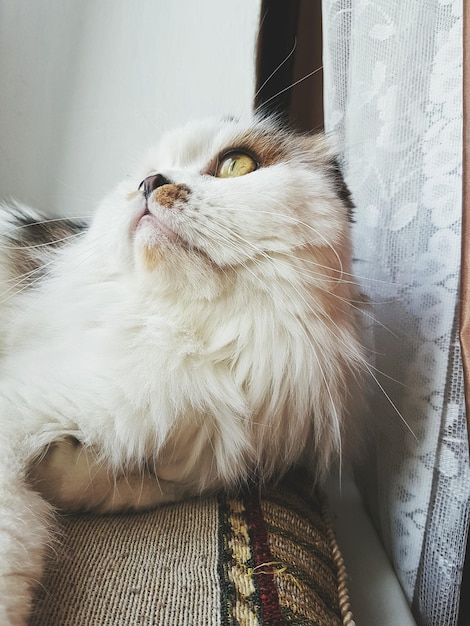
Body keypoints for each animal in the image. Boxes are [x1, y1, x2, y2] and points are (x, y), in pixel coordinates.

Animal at [0, 114, 364, 620]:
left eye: (236, 164)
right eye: (139, 177)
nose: (150, 183)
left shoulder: (200, 460)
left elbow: (122, 484)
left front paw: (62, 466)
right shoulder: (17, 405)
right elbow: (15, 538)